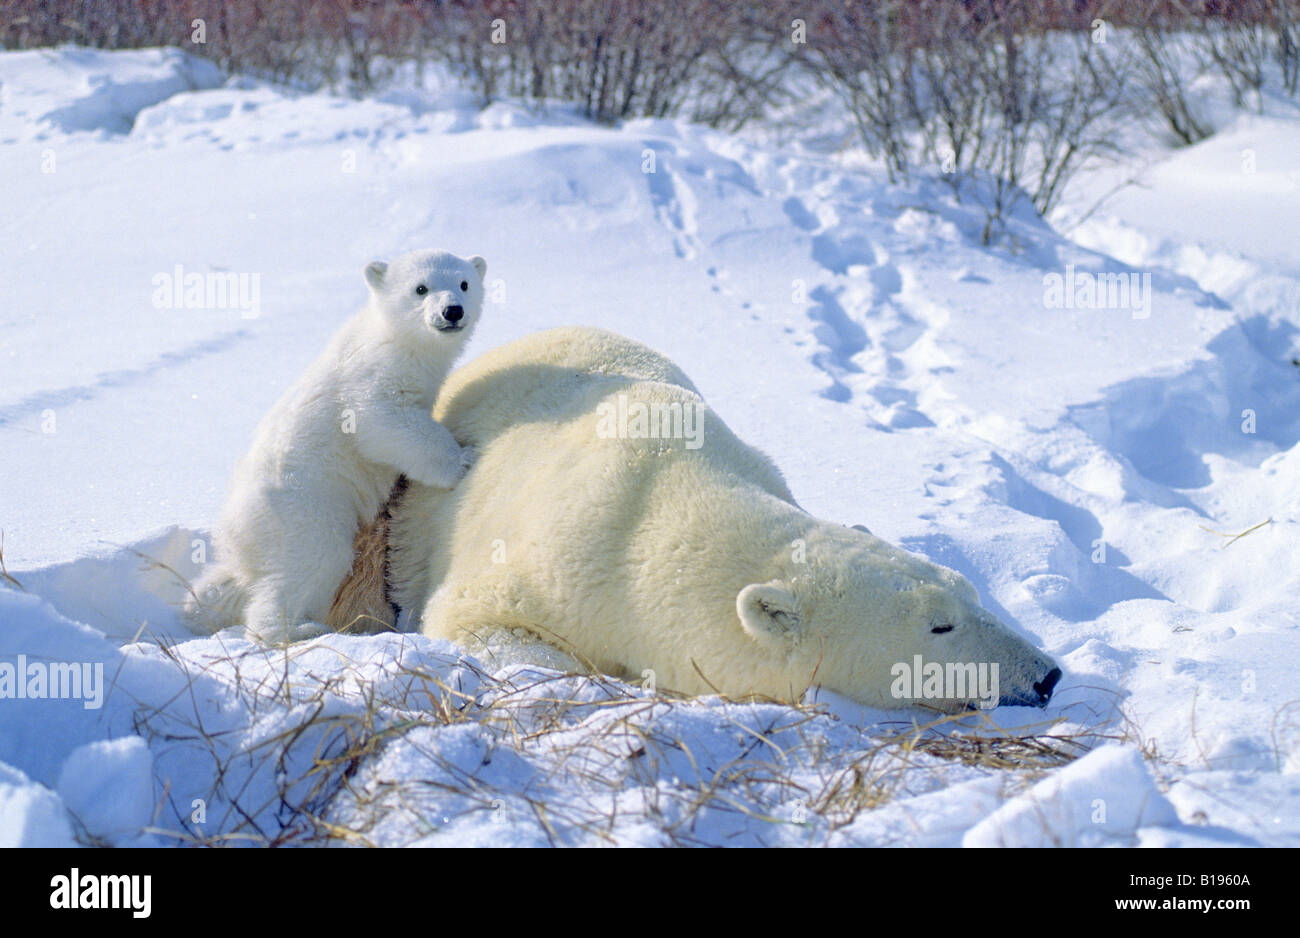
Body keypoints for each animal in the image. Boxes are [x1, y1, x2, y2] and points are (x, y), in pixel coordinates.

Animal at [185, 249, 488, 644]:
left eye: (464, 283)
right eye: (421, 288)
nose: (452, 311)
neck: (396, 340)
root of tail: (233, 533)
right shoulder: (370, 378)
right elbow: (383, 421)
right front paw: (463, 459)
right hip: (304, 507)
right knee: (311, 560)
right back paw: (296, 630)